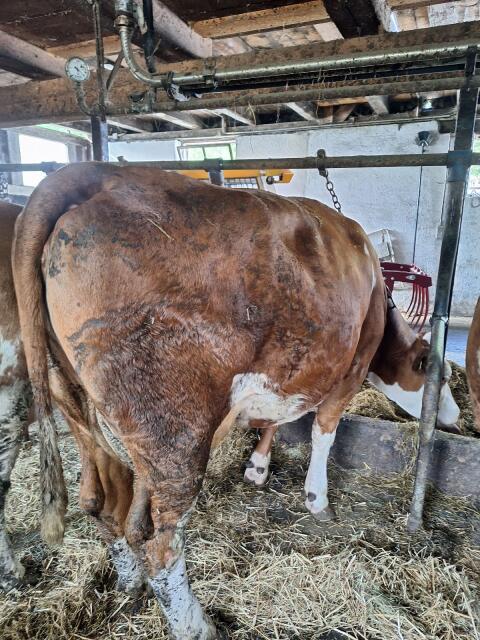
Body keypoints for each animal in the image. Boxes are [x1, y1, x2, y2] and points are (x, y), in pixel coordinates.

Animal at [12, 162, 459, 638]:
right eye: (443, 375)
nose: (456, 416)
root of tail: (94, 172)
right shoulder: (350, 366)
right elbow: (323, 432)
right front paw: (316, 498)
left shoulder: (290, 370)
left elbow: (276, 420)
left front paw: (258, 467)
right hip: (174, 434)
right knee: (157, 541)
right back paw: (195, 625)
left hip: (77, 405)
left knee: (102, 500)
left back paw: (129, 582)